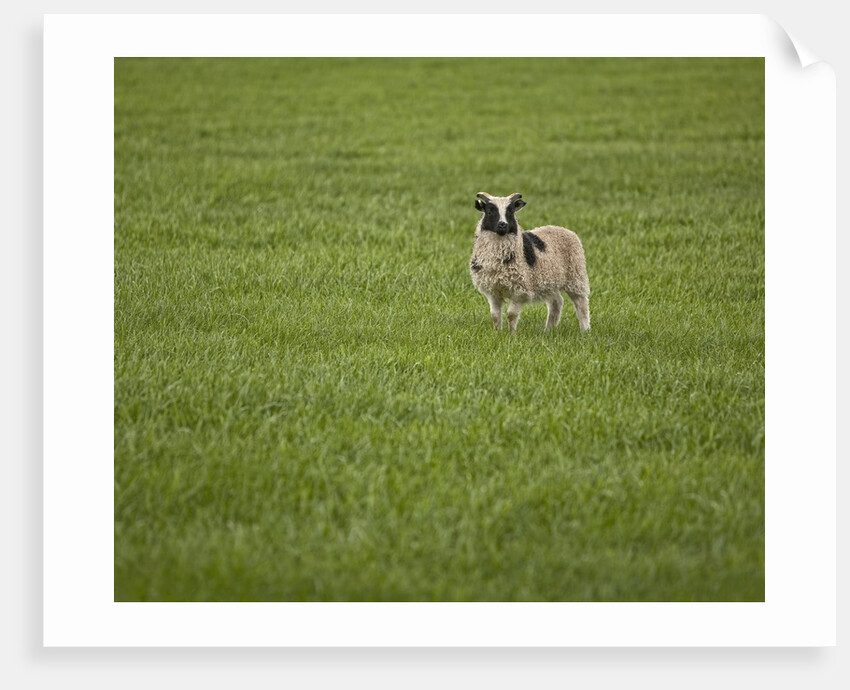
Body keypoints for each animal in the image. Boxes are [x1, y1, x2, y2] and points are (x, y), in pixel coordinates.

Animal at [469, 192, 590, 333]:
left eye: (510, 212)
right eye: (489, 211)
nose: (502, 225)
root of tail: (563, 229)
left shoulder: (520, 291)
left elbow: (511, 315)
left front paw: (511, 334)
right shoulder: (493, 291)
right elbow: (495, 315)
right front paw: (497, 333)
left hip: (576, 275)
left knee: (581, 304)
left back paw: (585, 330)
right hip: (550, 280)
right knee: (557, 302)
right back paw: (548, 331)